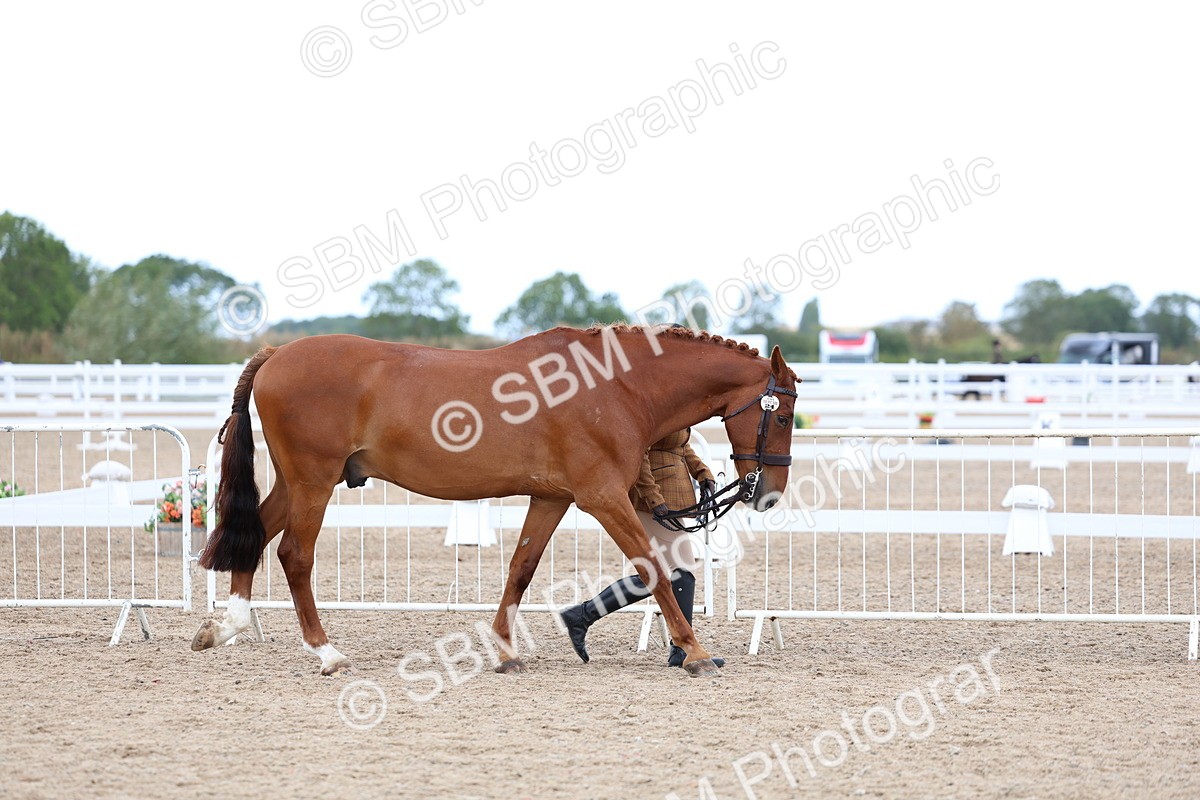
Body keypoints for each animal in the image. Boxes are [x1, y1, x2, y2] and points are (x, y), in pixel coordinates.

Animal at [192, 324, 799, 677]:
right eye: (785, 414)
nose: (768, 494)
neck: (614, 387)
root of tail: (277, 354)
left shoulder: (551, 498)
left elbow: (521, 567)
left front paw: (506, 651)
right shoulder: (603, 498)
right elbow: (652, 568)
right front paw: (694, 652)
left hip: (298, 483)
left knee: (256, 536)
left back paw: (226, 626)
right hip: (313, 482)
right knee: (294, 554)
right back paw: (327, 653)